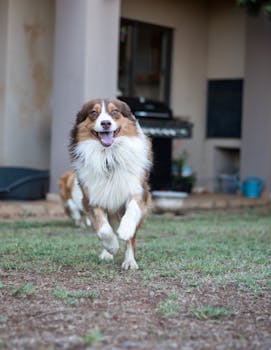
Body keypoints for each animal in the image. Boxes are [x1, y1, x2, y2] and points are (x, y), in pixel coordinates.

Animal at [69, 98, 152, 270]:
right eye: (93, 113)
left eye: (115, 112)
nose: (106, 123)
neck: (109, 156)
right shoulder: (91, 197)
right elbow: (103, 228)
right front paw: (112, 246)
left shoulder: (138, 191)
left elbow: (132, 213)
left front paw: (125, 231)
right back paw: (107, 253)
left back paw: (129, 261)